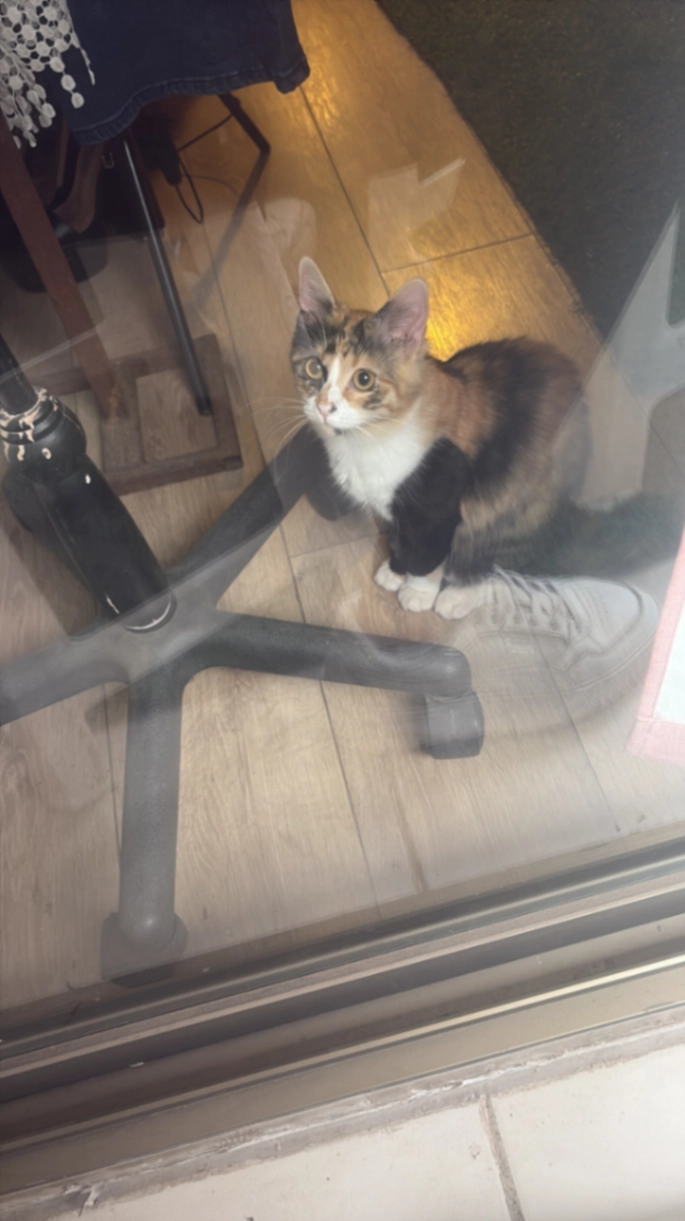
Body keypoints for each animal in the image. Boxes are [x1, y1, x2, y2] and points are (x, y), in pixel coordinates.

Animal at [290, 257, 590, 617]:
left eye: (363, 379)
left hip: (512, 501)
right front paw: (395, 571)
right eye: (313, 368)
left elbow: (428, 555)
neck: (368, 439)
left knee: (491, 554)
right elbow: (399, 539)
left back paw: (458, 595)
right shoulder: (394, 509)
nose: (323, 407)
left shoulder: (436, 508)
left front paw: (419, 591)